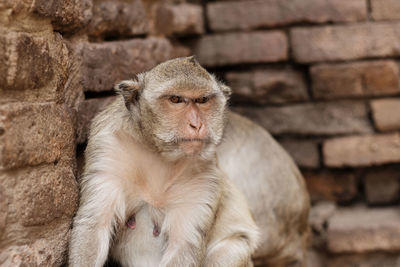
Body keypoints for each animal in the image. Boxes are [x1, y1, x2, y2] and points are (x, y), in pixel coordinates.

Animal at [69, 55, 260, 266]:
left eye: (202, 100)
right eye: (176, 99)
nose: (196, 124)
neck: (159, 153)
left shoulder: (205, 176)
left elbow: (184, 245)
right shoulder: (107, 147)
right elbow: (94, 225)